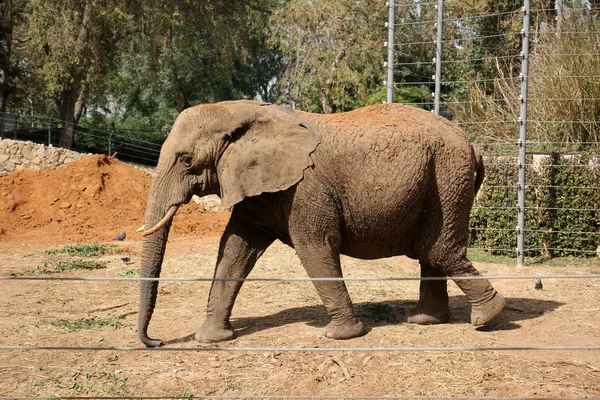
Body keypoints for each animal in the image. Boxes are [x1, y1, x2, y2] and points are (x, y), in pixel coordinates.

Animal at [138, 99, 504, 346]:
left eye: (186, 160)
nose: (157, 341)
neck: (240, 112)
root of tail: (474, 146)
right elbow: (234, 253)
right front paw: (211, 340)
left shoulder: (305, 189)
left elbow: (314, 246)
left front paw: (340, 336)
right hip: (440, 179)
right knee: (432, 252)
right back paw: (426, 321)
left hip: (447, 176)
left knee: (438, 250)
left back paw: (487, 317)